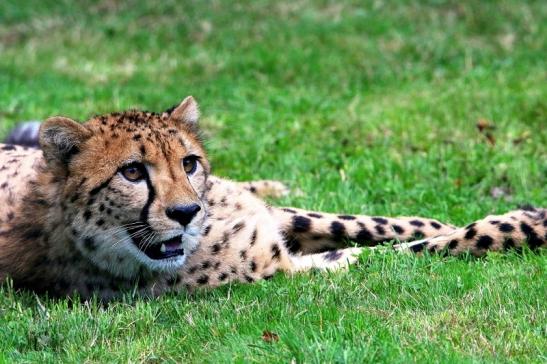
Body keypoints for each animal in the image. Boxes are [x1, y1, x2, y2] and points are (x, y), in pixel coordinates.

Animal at [1, 95, 547, 300]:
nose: (186, 212)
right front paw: (523, 224)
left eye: (189, 163)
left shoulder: (265, 218)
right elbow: (399, 256)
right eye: (132, 172)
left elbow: (360, 223)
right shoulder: (281, 270)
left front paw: (434, 222)